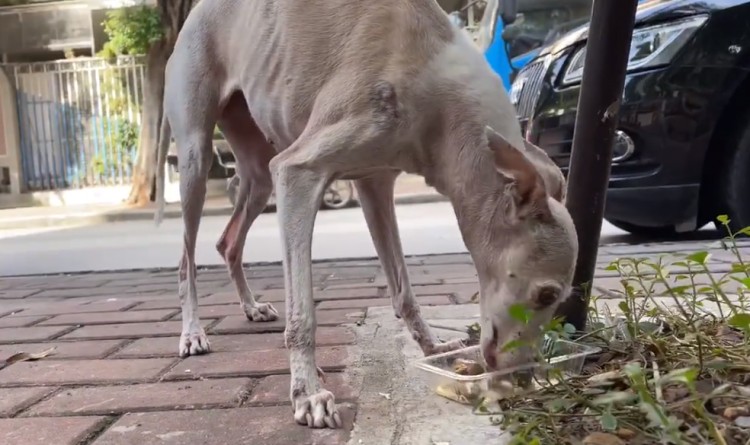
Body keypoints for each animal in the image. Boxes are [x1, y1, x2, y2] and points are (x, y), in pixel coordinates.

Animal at [154, 0, 580, 430]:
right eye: (546, 294)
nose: (522, 380)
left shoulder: (375, 182)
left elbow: (403, 290)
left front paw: (433, 348)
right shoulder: (296, 172)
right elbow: (303, 313)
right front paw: (307, 393)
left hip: (258, 172)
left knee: (228, 241)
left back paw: (251, 306)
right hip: (196, 156)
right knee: (185, 260)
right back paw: (192, 333)